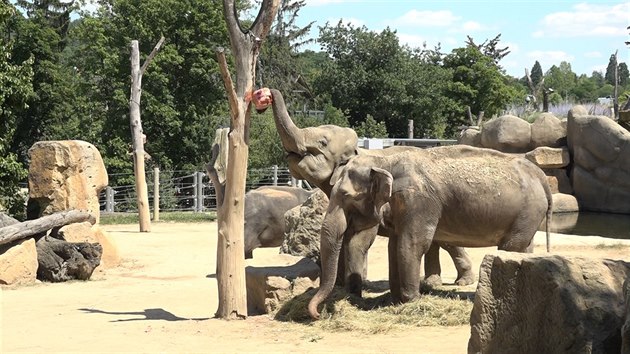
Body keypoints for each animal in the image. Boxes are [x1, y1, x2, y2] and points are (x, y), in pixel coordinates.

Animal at [262, 89, 474, 294]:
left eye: (322, 142)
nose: (267, 94)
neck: (358, 151)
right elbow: (342, 236)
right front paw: (340, 287)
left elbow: (360, 238)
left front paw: (352, 288)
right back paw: (432, 282)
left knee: (446, 239)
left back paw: (463, 281)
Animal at [310, 145, 552, 320]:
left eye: (345, 196)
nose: (317, 315)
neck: (385, 160)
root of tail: (540, 175)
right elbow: (394, 245)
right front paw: (395, 301)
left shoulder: (419, 201)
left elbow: (412, 244)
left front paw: (412, 301)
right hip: (527, 216)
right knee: (523, 247)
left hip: (527, 212)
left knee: (511, 247)